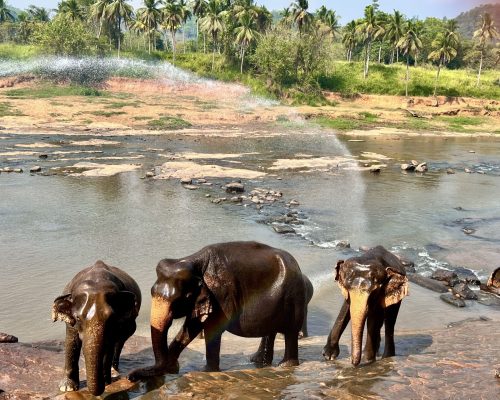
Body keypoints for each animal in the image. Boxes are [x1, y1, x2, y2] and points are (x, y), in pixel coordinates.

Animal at [51, 260, 141, 396]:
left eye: (111, 318)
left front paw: (107, 381)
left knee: (120, 341)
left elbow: (109, 346)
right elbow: (71, 342)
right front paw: (67, 388)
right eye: (78, 318)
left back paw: (114, 370)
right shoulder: (71, 323)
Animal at [128, 241, 308, 382]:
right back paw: (259, 362)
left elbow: (209, 328)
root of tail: (297, 265)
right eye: (151, 292)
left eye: (182, 298)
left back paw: (284, 365)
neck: (193, 260)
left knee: (290, 331)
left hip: (294, 297)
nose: (130, 377)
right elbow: (191, 326)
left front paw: (206, 371)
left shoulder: (221, 295)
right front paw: (171, 366)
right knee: (270, 330)